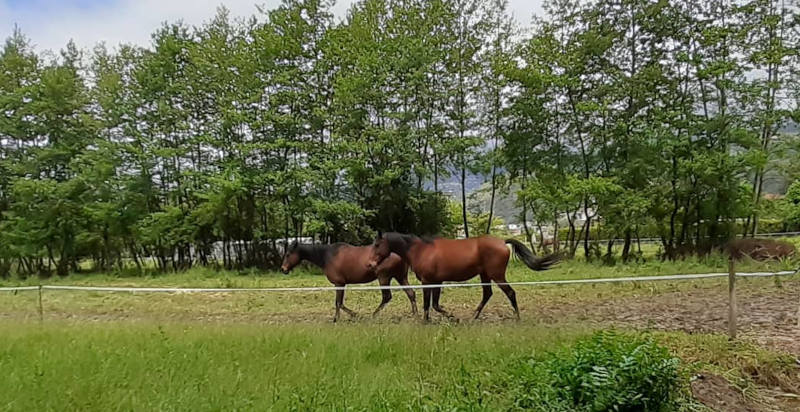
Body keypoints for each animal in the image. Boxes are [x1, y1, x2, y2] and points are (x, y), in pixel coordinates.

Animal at [281, 241, 417, 322]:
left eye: (288, 254)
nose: (283, 269)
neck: (327, 256)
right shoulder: (341, 284)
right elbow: (338, 302)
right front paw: (342, 317)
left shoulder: (339, 283)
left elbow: (339, 303)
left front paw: (345, 316)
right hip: (400, 277)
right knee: (411, 293)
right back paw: (415, 314)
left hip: (384, 277)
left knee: (387, 297)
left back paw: (374, 315)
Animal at [366, 233, 559, 321]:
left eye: (377, 245)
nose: (370, 264)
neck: (421, 250)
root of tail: (502, 242)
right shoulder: (436, 282)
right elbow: (434, 304)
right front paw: (452, 317)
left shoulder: (428, 282)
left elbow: (428, 304)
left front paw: (429, 320)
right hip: (484, 275)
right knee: (487, 294)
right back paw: (474, 316)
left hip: (497, 275)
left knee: (510, 293)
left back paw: (517, 317)